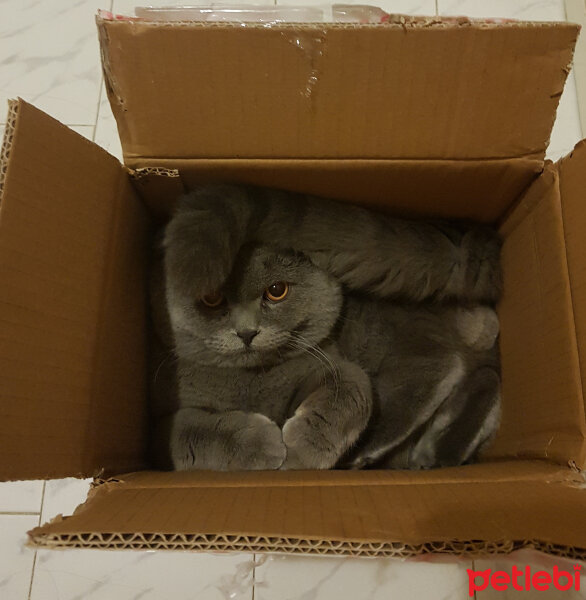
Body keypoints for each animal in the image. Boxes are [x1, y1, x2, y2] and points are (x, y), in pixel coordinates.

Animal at [152, 183, 502, 468]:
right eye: (211, 298)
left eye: (276, 291)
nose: (247, 332)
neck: (252, 381)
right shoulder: (167, 415)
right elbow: (190, 432)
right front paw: (261, 446)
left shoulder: (330, 363)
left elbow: (348, 390)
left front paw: (297, 453)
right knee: (482, 376)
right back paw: (436, 452)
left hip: (389, 333)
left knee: (439, 365)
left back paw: (373, 453)